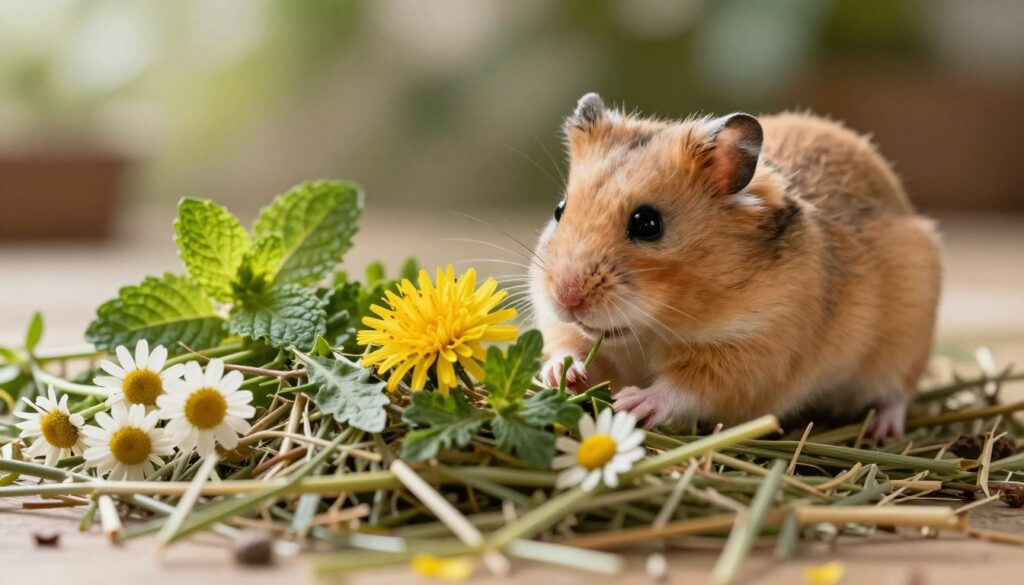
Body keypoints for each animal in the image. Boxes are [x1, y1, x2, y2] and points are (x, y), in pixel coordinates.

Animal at [529, 93, 941, 438]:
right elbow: (569, 346)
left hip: (905, 344)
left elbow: (684, 388)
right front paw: (560, 375)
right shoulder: (566, 328)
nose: (566, 298)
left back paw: (883, 432)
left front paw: (631, 404)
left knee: (898, 394)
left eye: (647, 223)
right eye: (560, 210)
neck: (653, 329)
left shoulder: (752, 354)